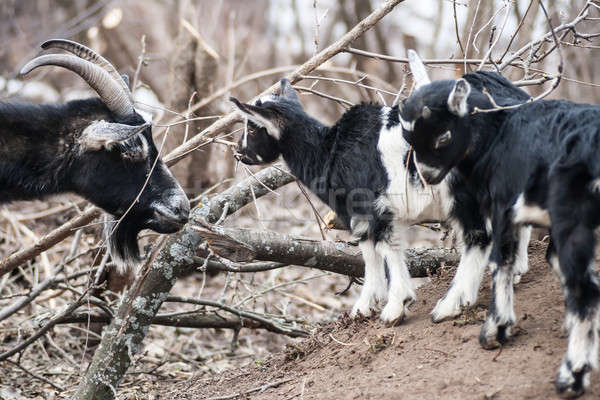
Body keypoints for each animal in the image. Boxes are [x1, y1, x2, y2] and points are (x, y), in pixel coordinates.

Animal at [398, 50, 600, 396]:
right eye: (408, 137)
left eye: (443, 136)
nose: (427, 175)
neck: (499, 130)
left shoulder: (502, 204)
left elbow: (497, 257)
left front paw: (492, 328)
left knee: (584, 288)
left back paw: (571, 376)